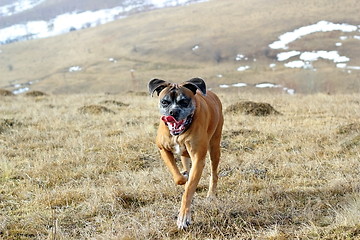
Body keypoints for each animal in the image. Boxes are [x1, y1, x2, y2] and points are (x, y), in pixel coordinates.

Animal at [148, 77, 222, 229]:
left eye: (184, 101)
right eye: (164, 101)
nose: (173, 112)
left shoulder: (198, 159)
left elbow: (188, 190)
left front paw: (183, 218)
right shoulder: (163, 149)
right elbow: (178, 178)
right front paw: (183, 177)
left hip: (215, 147)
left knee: (214, 173)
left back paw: (211, 194)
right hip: (185, 156)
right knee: (186, 165)